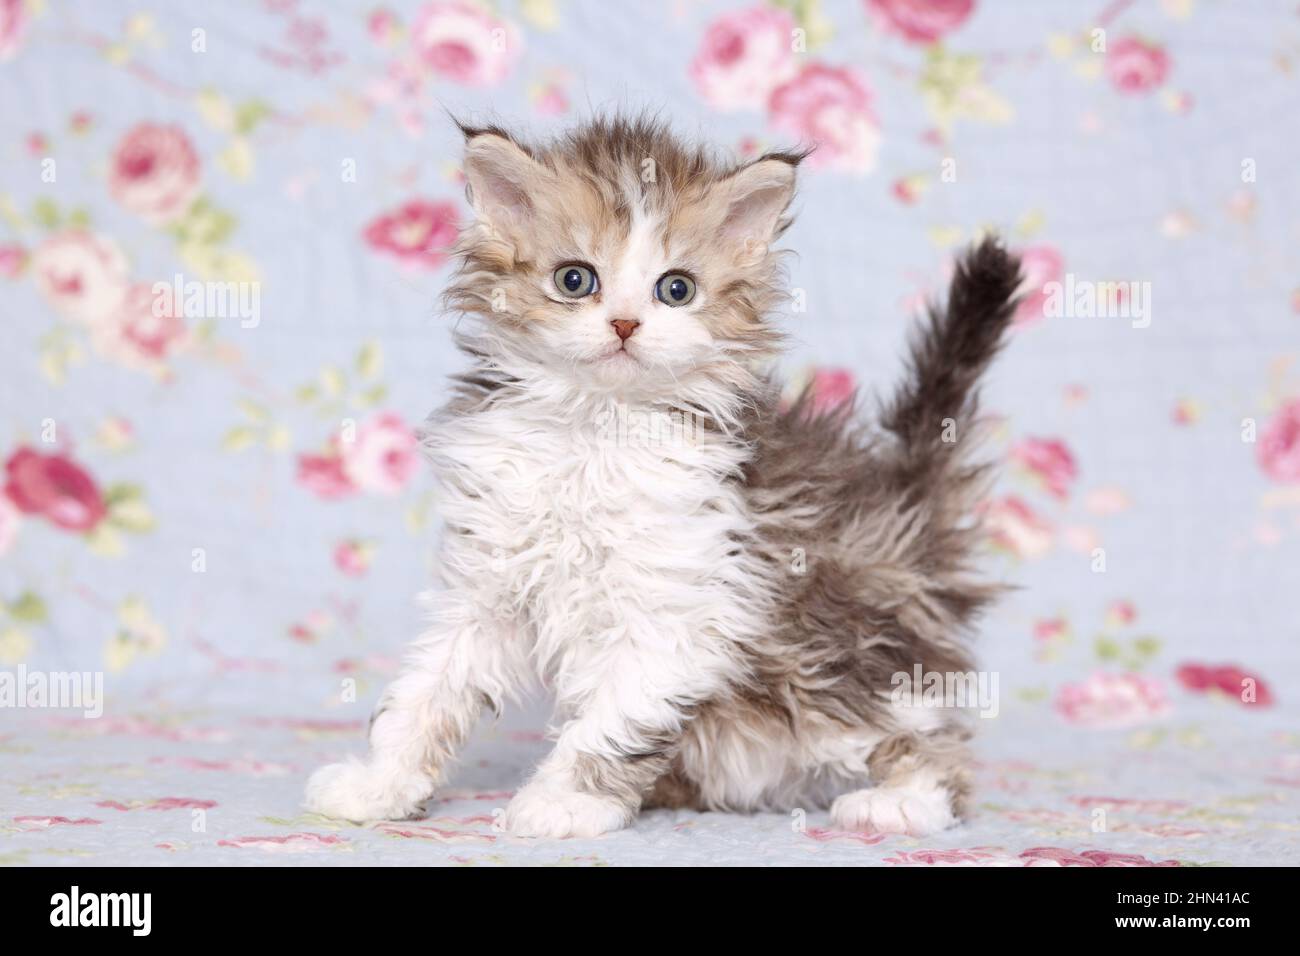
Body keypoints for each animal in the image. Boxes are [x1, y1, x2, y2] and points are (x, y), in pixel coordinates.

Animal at [309, 117, 1019, 837]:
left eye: (675, 288)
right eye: (575, 280)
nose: (625, 323)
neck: (596, 432)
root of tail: (901, 499)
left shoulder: (674, 607)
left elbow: (612, 723)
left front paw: (565, 801)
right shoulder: (487, 589)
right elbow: (425, 695)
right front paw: (378, 784)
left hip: (830, 668)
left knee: (927, 738)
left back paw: (900, 800)